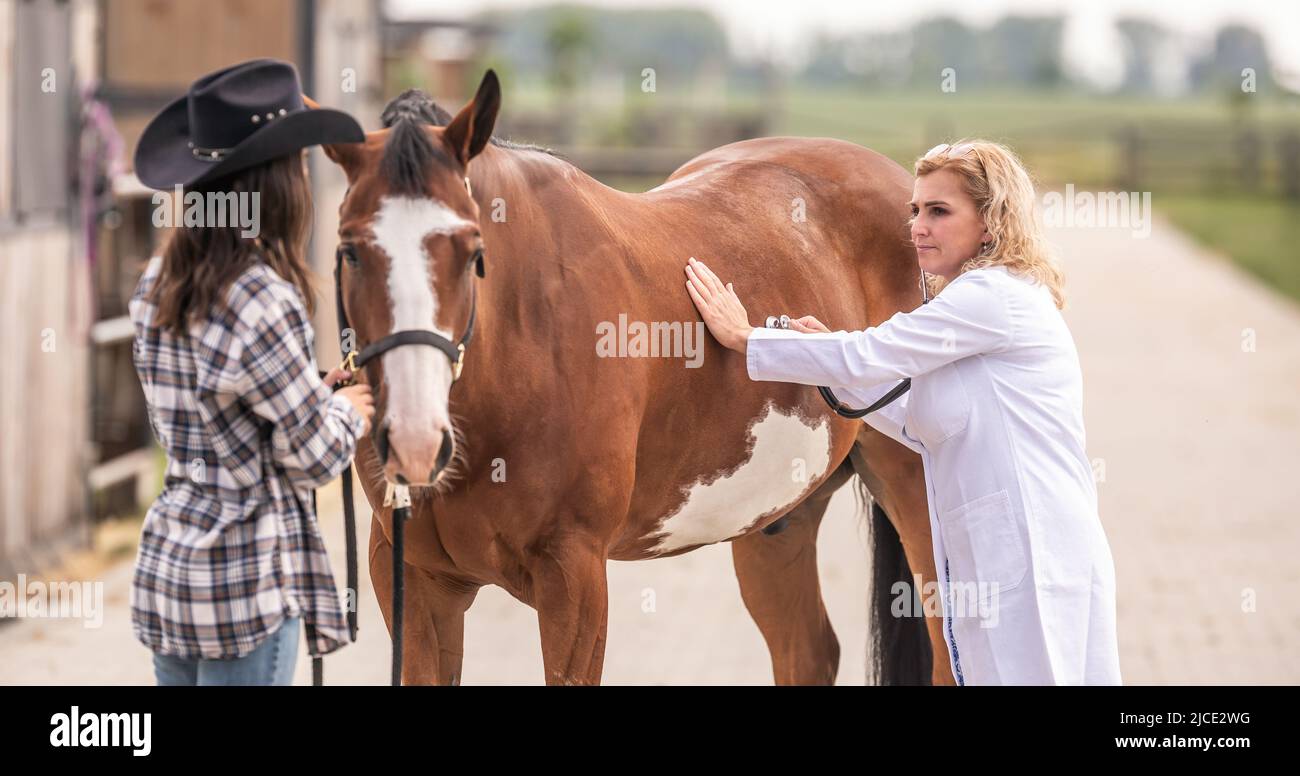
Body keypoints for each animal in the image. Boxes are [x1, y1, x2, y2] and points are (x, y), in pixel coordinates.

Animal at [315, 71, 954, 685]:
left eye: (473, 250)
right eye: (348, 249)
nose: (414, 440)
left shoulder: (574, 576)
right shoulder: (414, 579)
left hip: (917, 502)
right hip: (778, 520)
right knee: (809, 653)